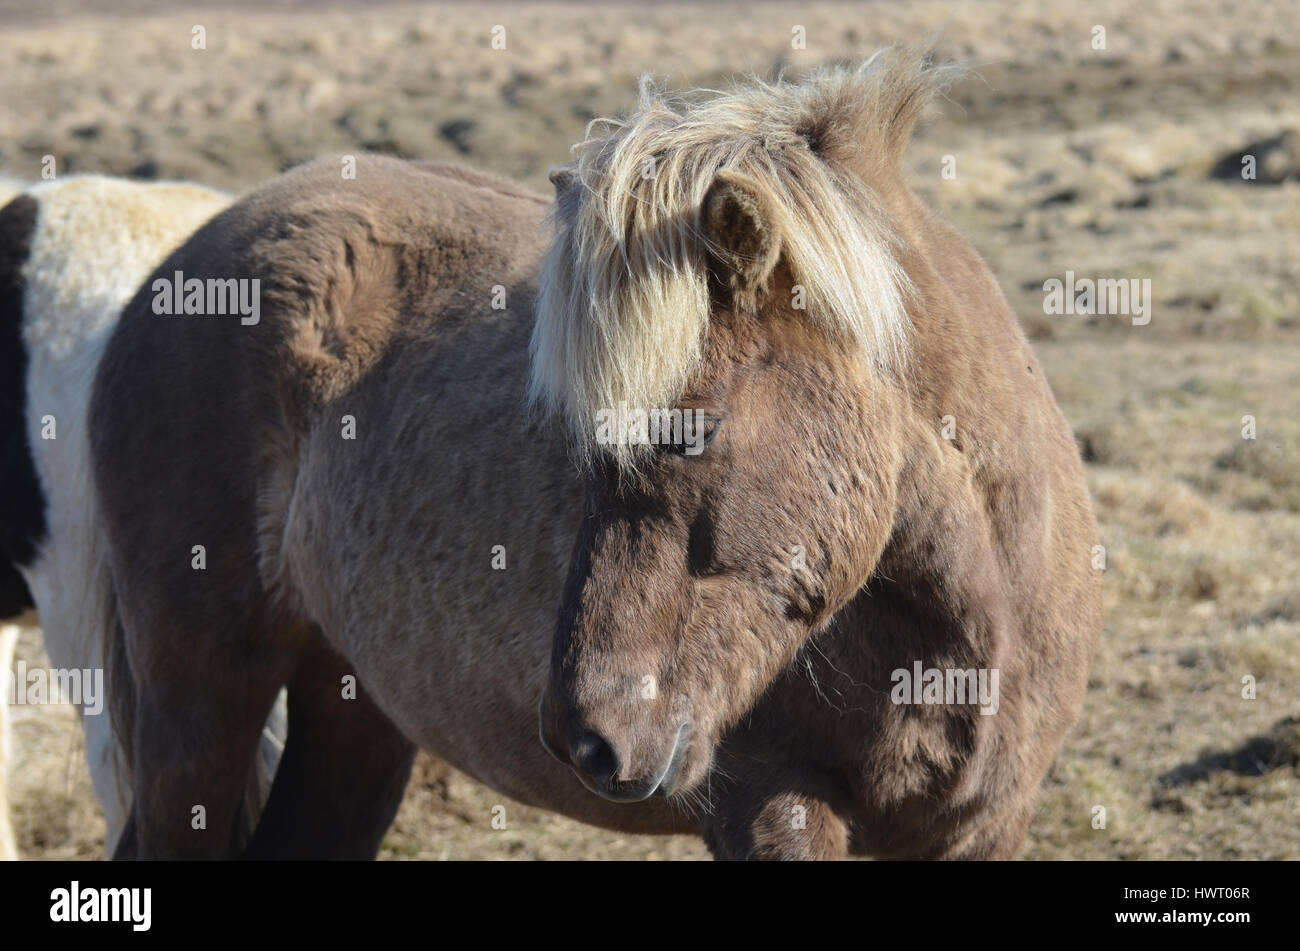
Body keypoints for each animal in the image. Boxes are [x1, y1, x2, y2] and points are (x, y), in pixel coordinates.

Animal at [91, 50, 1102, 860]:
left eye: (696, 431)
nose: (584, 737)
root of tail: (178, 267)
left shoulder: (985, 826)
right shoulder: (771, 802)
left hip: (351, 701)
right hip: (200, 691)